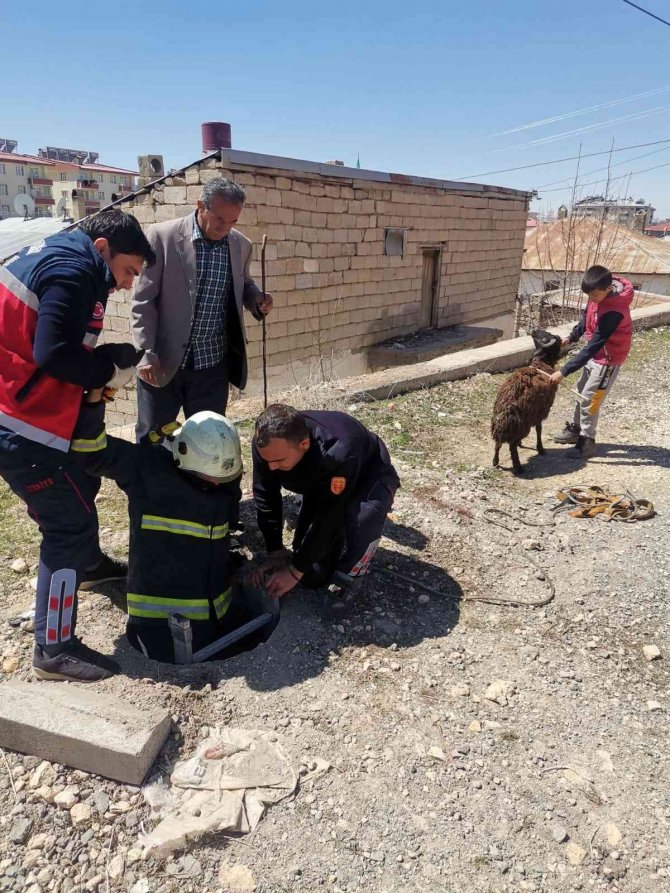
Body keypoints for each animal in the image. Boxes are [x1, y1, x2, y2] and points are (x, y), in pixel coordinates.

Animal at [490, 330, 564, 474]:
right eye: (555, 340)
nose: (561, 339)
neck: (541, 364)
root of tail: (506, 411)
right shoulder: (540, 412)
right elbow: (539, 430)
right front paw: (540, 449)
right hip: (523, 425)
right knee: (511, 446)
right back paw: (518, 467)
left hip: (500, 426)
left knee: (497, 443)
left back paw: (495, 462)